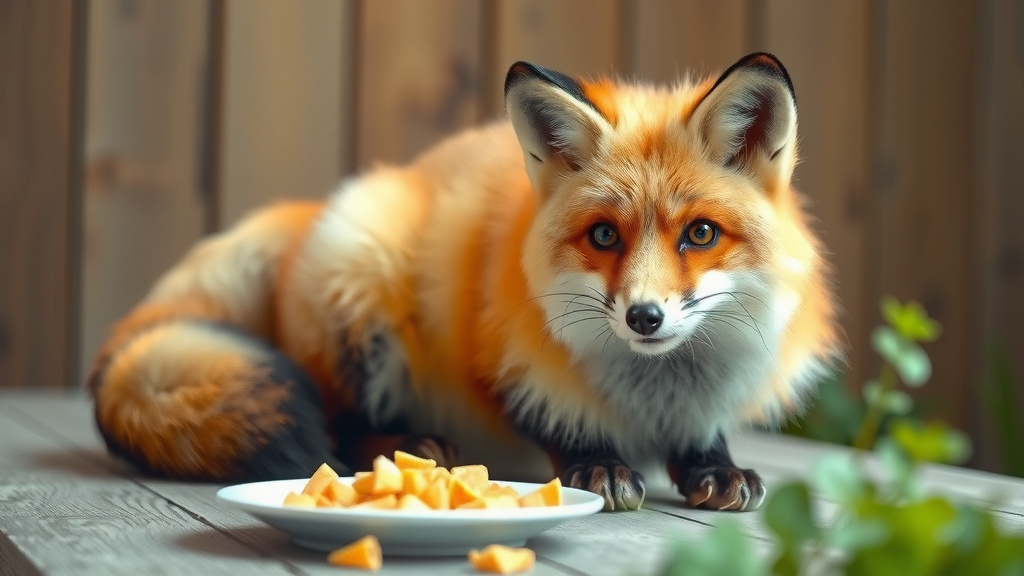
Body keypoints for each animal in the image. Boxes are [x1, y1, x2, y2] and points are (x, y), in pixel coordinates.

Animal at [88, 52, 840, 512]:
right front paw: (596, 463)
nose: (644, 318)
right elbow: (550, 415)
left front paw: (712, 467)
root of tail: (308, 211)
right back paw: (406, 445)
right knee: (335, 420)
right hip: (363, 291)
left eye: (700, 235)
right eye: (604, 236)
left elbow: (701, 439)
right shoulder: (491, 351)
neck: (652, 396)